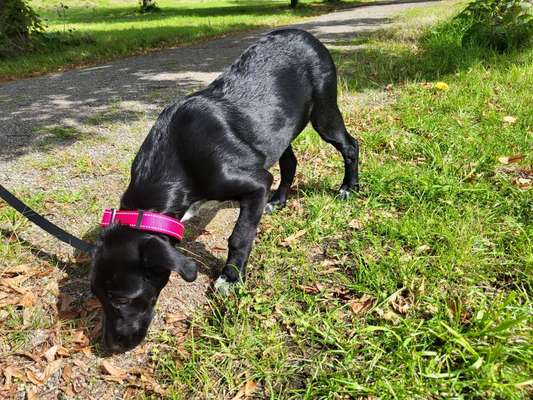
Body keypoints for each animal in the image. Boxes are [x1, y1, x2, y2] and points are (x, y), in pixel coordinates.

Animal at [90, 28, 358, 354]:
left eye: (121, 298)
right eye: (96, 295)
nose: (109, 347)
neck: (174, 160)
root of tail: (304, 33)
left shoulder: (257, 184)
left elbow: (240, 237)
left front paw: (230, 278)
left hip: (324, 112)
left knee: (350, 146)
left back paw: (349, 187)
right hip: (280, 131)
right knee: (290, 162)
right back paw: (279, 201)